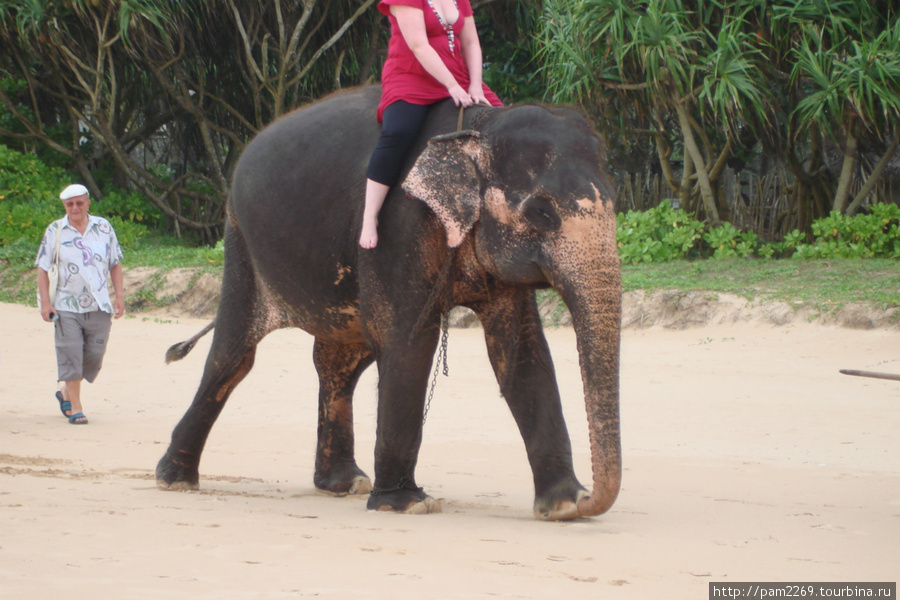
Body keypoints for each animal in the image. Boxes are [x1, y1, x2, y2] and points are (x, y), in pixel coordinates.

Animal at [156, 84, 620, 520]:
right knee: (233, 356)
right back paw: (174, 479)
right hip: (241, 241)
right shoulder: (396, 227)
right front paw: (406, 504)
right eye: (542, 212)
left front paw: (562, 506)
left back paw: (343, 483)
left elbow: (523, 352)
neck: (478, 127)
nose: (590, 501)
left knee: (340, 362)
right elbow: (409, 343)